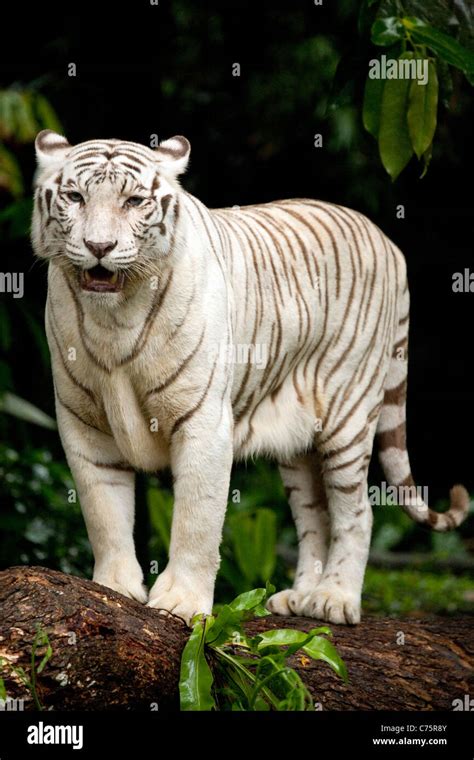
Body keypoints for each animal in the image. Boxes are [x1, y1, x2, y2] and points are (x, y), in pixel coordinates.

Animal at [31, 129, 469, 626]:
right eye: (75, 197)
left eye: (134, 201)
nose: (99, 247)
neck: (114, 319)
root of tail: (386, 240)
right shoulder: (84, 423)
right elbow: (103, 512)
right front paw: (114, 589)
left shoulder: (203, 421)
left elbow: (197, 520)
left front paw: (181, 602)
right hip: (300, 448)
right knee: (315, 515)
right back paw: (299, 597)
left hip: (350, 414)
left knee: (357, 510)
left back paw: (334, 598)